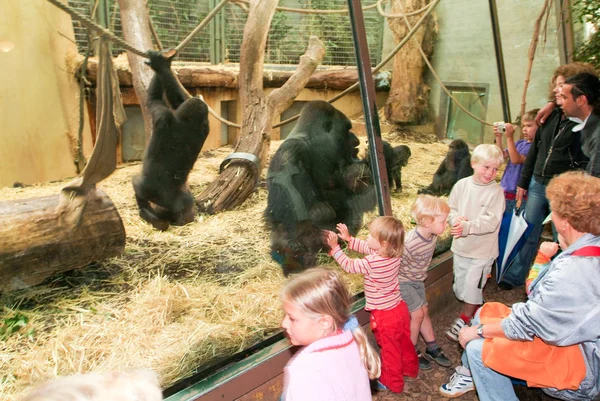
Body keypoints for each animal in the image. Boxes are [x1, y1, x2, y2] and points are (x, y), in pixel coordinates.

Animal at [131, 51, 209, 230]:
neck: (191, 122)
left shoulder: (162, 114)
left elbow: (154, 100)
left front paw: (160, 65)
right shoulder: (205, 124)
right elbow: (178, 99)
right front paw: (167, 62)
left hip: (149, 189)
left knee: (138, 186)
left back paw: (146, 213)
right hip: (175, 200)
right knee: (185, 204)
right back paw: (164, 220)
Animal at [266, 100, 378, 276]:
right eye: (346, 130)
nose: (356, 140)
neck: (312, 142)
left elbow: (352, 196)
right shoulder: (290, 153)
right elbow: (289, 214)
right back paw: (296, 266)